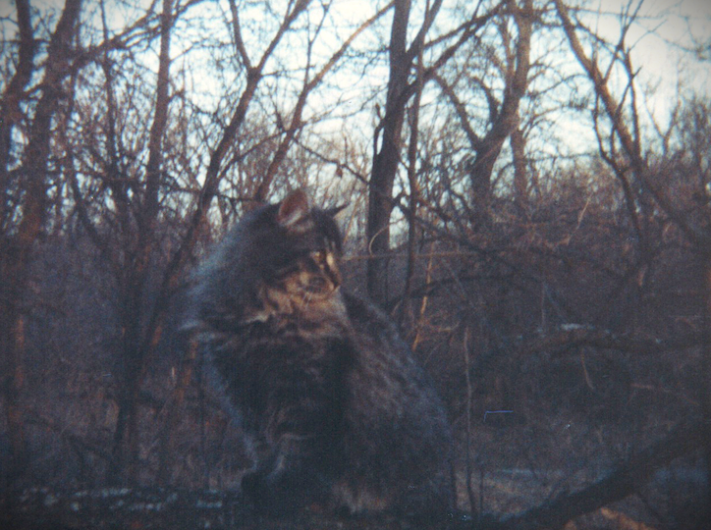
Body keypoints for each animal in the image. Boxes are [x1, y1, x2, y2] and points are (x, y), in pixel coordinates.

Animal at [188, 189, 456, 516]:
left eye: (337, 258)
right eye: (318, 256)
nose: (337, 281)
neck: (262, 317)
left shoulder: (306, 394)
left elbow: (298, 450)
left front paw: (282, 489)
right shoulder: (244, 393)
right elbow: (263, 446)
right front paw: (260, 477)